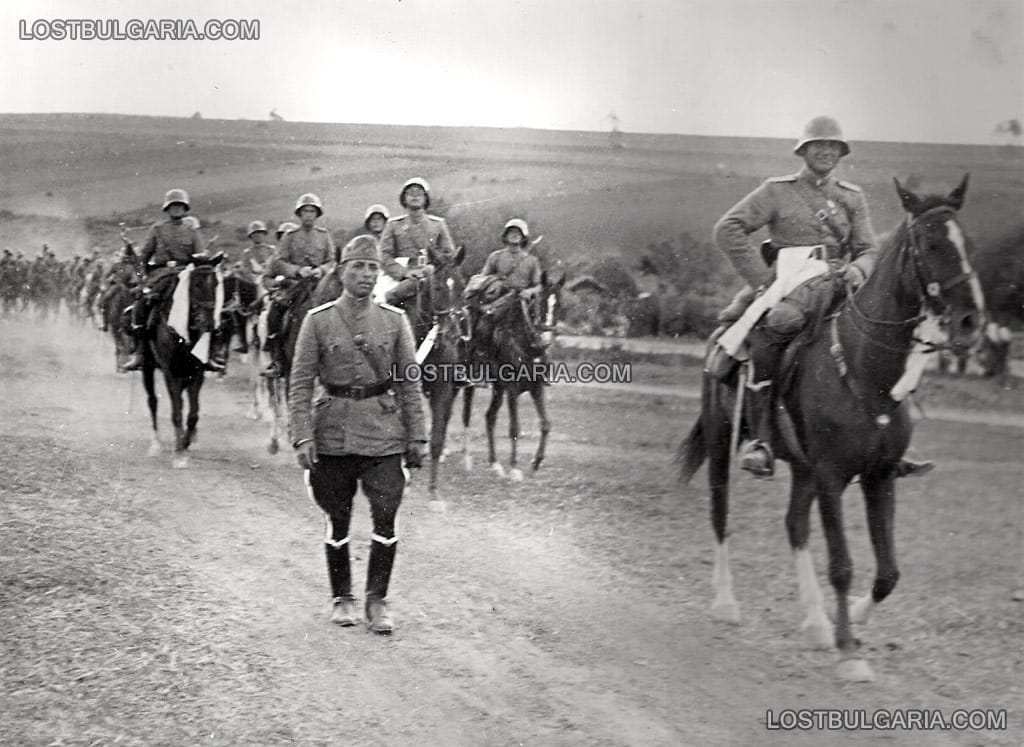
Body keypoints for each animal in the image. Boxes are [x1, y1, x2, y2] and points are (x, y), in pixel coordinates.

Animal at [135, 253, 227, 469]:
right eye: (195, 285)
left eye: (216, 283)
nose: (209, 324)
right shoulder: (171, 372)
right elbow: (177, 411)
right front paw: (178, 454)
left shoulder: (197, 371)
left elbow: (193, 413)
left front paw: (185, 443)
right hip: (148, 368)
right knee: (152, 401)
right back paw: (155, 444)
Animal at [466, 268, 565, 477]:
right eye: (540, 303)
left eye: (559, 304)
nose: (545, 340)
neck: (526, 345)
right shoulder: (512, 390)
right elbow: (514, 428)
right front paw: (513, 467)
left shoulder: (536, 388)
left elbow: (545, 424)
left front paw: (536, 462)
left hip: (498, 390)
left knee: (490, 417)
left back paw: (494, 463)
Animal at [675, 176, 978, 680]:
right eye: (931, 243)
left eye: (967, 243)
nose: (972, 320)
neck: (866, 371)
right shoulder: (834, 477)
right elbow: (842, 564)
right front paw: (850, 652)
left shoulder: (877, 477)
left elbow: (888, 572)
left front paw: (850, 619)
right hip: (722, 441)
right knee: (720, 515)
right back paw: (726, 603)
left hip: (803, 469)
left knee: (795, 526)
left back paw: (816, 624)